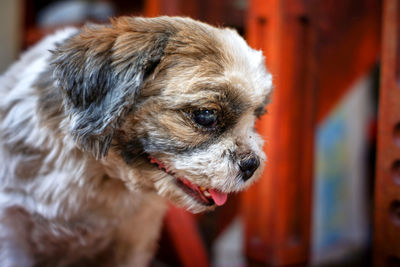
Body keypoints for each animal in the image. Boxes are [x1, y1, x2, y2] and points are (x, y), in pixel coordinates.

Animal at [0, 16, 274, 266]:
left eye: (256, 117)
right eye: (206, 116)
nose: (251, 164)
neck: (99, 176)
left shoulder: (135, 238)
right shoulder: (12, 231)